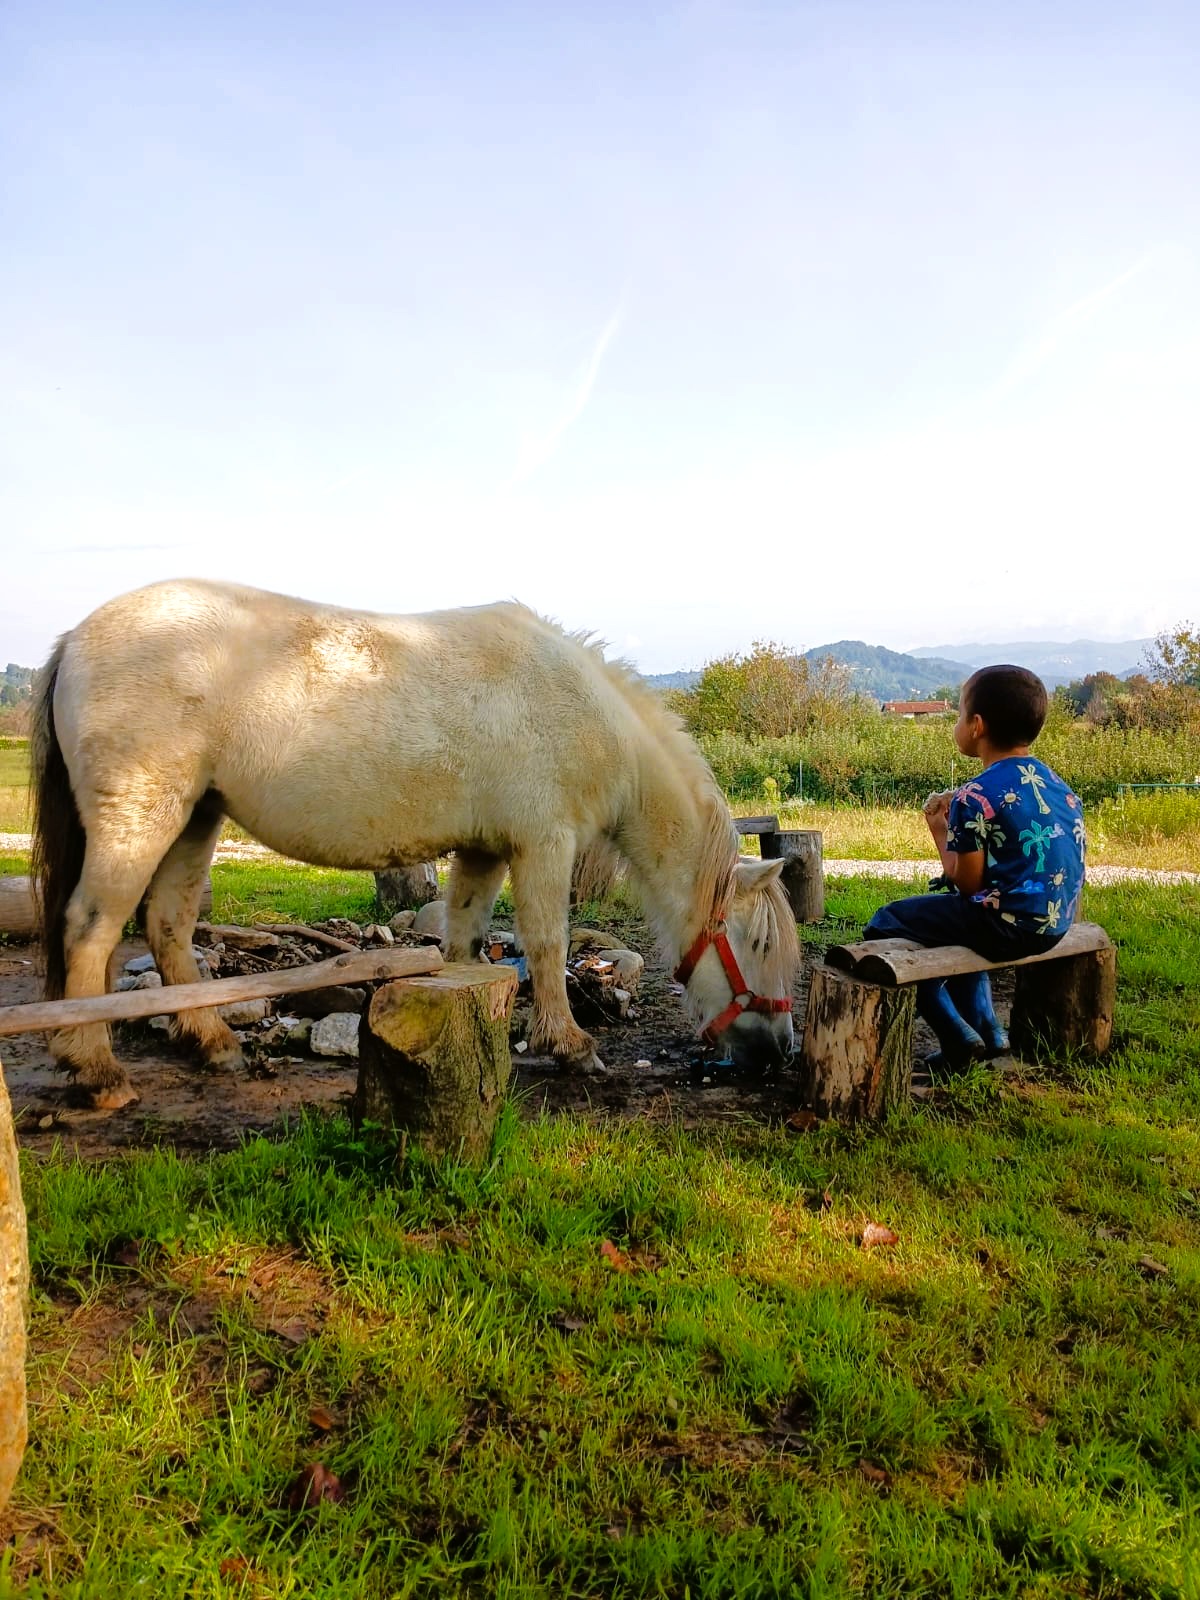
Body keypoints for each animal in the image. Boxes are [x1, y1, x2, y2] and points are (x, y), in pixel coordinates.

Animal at [31, 579, 800, 1108]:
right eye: (760, 945)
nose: (777, 1054)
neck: (586, 712)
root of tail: (74, 636)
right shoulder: (544, 845)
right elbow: (548, 943)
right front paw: (571, 1047)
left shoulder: (487, 850)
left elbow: (463, 945)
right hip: (142, 819)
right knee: (91, 928)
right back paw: (96, 1070)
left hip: (196, 817)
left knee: (167, 926)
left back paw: (213, 1045)